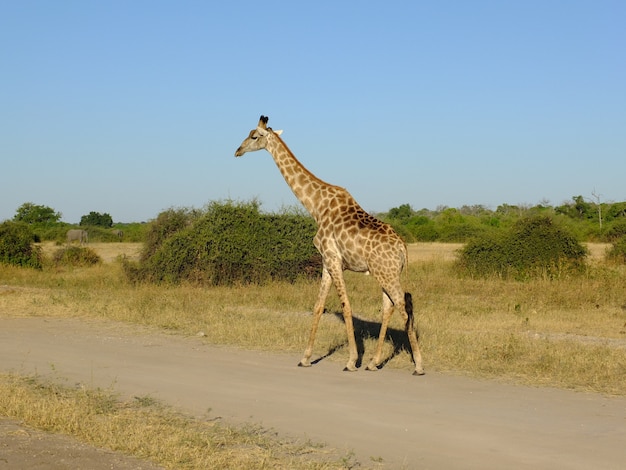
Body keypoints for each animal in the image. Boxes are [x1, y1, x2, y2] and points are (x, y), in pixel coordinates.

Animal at [234, 114, 424, 374]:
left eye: (254, 136)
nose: (237, 151)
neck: (316, 206)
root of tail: (403, 248)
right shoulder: (326, 262)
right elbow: (318, 306)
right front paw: (305, 358)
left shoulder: (334, 259)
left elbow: (346, 306)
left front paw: (351, 361)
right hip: (385, 273)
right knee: (390, 306)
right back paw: (374, 363)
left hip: (386, 273)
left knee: (403, 305)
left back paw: (418, 365)